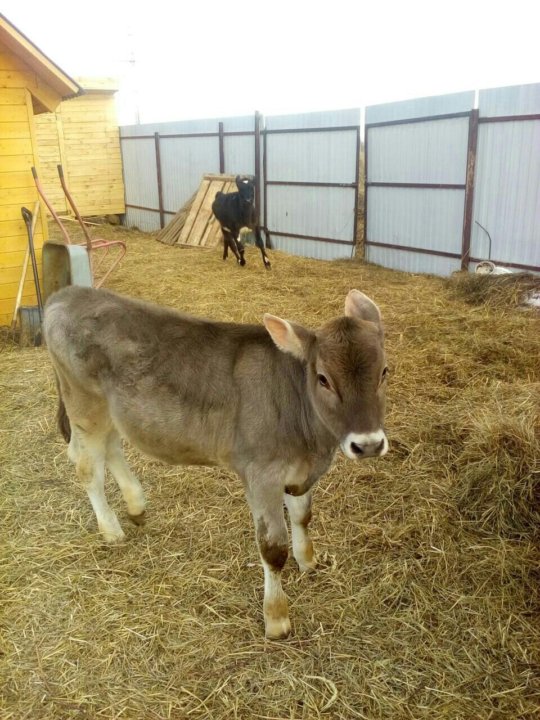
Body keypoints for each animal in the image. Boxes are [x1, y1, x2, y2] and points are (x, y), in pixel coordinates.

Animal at [43, 284, 388, 640]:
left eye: (384, 373)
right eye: (323, 378)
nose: (368, 444)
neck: (313, 446)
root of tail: (69, 293)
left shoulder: (300, 472)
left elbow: (303, 517)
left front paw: (307, 561)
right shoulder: (261, 474)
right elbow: (272, 548)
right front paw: (276, 618)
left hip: (111, 411)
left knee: (111, 448)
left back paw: (136, 506)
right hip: (84, 405)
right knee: (87, 466)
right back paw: (111, 530)